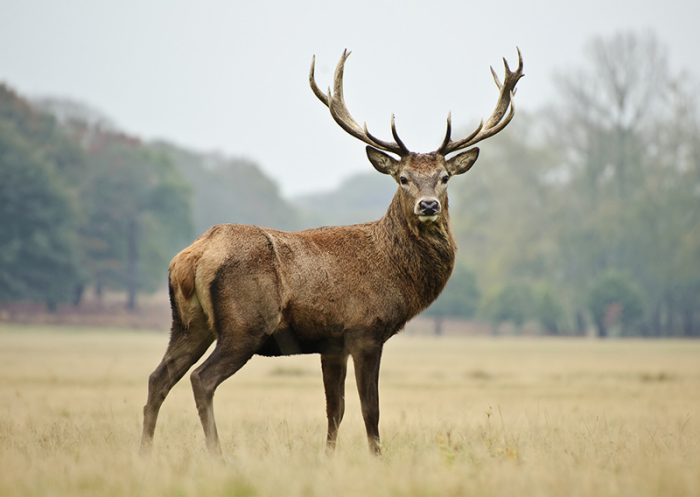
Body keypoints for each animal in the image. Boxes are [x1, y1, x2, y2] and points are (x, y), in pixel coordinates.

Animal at [139, 48, 524, 456]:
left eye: (445, 177)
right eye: (402, 178)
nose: (429, 205)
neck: (394, 272)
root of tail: (193, 256)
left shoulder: (331, 343)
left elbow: (334, 409)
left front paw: (328, 456)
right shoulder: (365, 330)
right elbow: (370, 409)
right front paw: (376, 457)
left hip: (188, 323)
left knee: (158, 377)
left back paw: (144, 451)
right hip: (244, 324)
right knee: (201, 379)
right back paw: (217, 454)